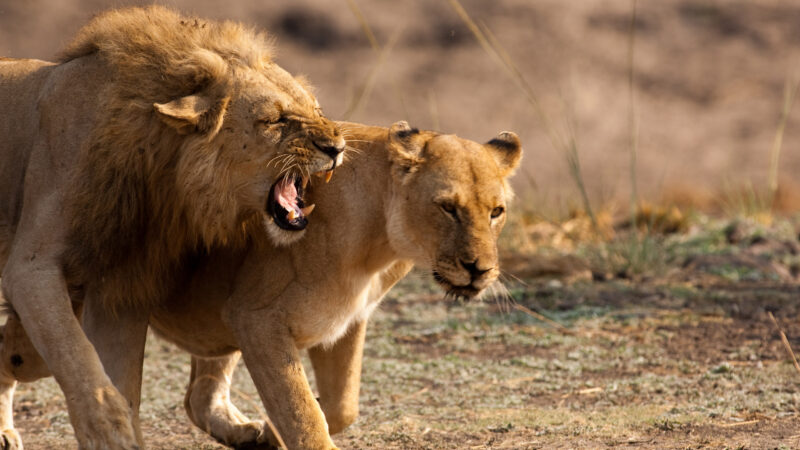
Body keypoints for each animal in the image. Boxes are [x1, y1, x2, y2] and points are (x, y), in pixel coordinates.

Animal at [0, 6, 344, 449]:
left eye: (315, 109)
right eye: (274, 120)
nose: (337, 147)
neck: (161, 169)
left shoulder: (120, 288)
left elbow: (122, 379)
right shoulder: (31, 269)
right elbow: (80, 361)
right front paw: (111, 432)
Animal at [0, 120, 521, 449]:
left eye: (497, 212)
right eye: (447, 208)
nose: (480, 270)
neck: (378, 245)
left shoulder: (345, 322)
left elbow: (341, 406)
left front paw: (274, 431)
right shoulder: (257, 319)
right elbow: (304, 414)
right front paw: (291, 426)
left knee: (198, 398)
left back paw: (245, 433)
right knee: (10, 351)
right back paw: (5, 432)